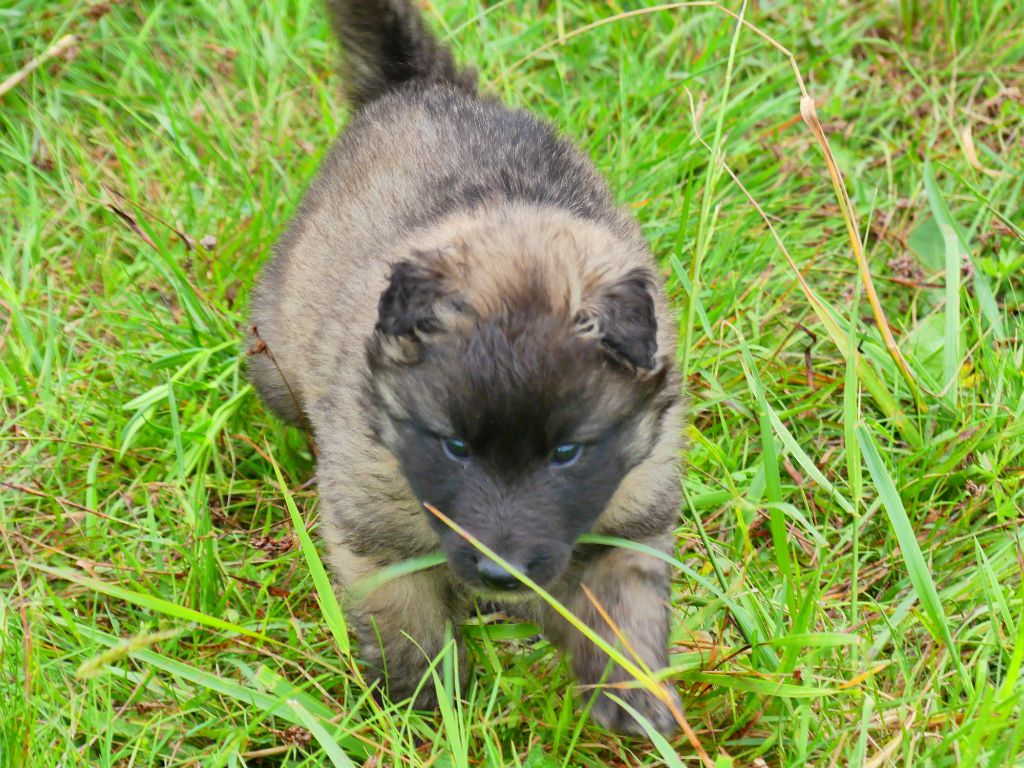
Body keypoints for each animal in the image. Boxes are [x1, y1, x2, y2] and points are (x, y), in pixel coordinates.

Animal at [244, 0, 684, 737]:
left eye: (567, 452)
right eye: (453, 446)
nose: (502, 576)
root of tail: (419, 84)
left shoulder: (634, 514)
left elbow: (622, 609)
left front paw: (634, 696)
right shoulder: (375, 533)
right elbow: (406, 624)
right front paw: (424, 707)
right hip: (273, 363)